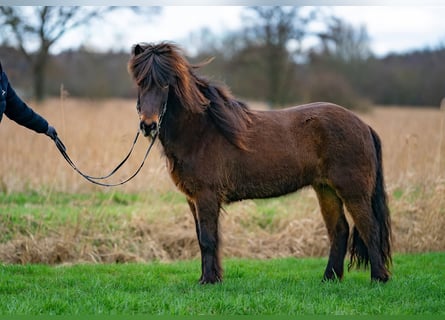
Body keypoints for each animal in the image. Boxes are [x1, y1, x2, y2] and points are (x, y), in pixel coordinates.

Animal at [126, 41, 390, 284]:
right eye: (140, 82)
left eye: (165, 83)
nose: (148, 125)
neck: (201, 132)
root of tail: (363, 125)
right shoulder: (193, 199)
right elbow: (203, 239)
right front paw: (209, 278)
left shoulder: (206, 196)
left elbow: (208, 239)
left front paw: (209, 281)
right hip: (326, 189)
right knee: (339, 230)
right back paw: (330, 278)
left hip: (353, 191)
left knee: (370, 228)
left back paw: (378, 278)